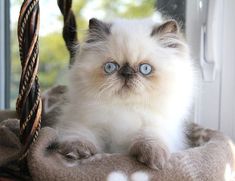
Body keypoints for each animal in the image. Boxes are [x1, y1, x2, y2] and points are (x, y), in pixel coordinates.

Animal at [56, 17, 195, 169]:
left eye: (145, 69)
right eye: (110, 67)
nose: (126, 73)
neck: (125, 109)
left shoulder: (156, 126)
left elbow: (151, 138)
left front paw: (154, 159)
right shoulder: (86, 122)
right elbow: (80, 135)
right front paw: (77, 152)